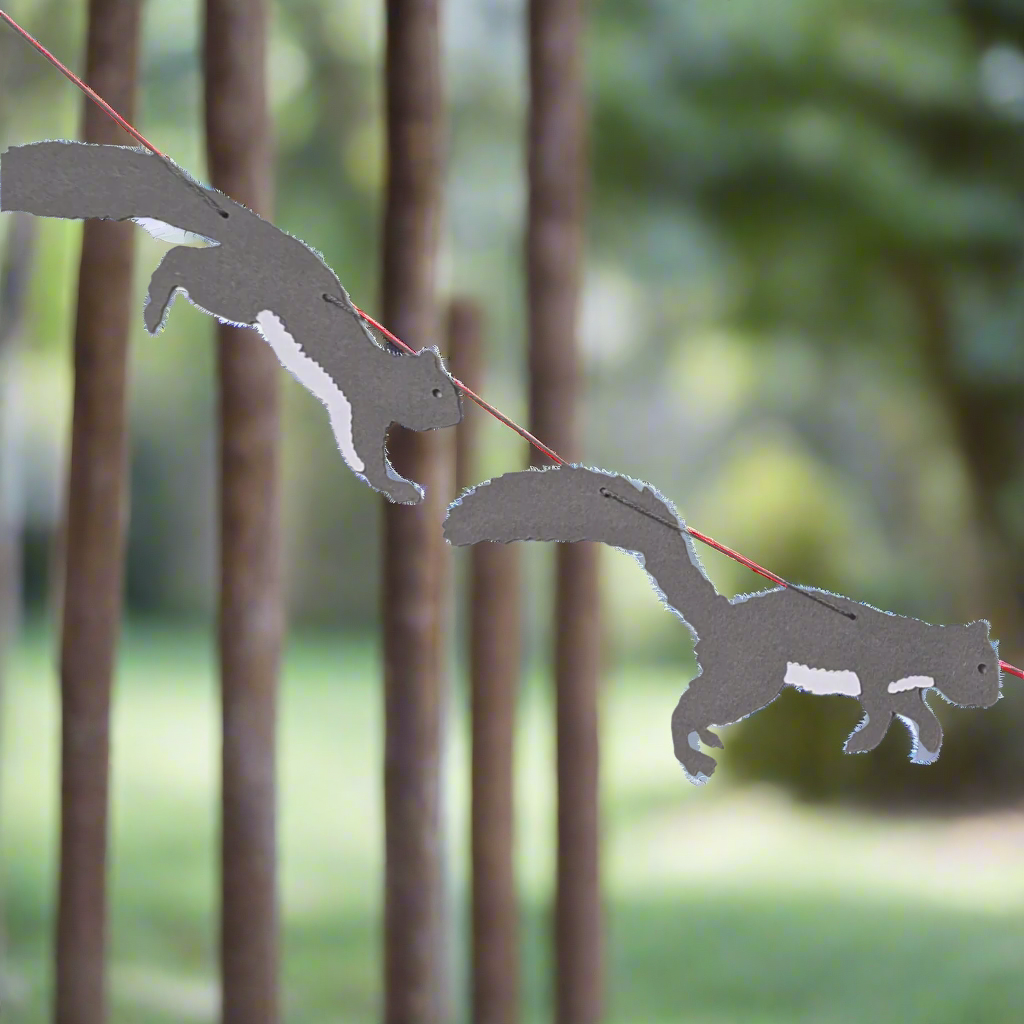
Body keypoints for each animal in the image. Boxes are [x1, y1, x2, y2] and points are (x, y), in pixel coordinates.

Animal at [0, 139, 461, 504]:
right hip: (237, 291)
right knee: (179, 262)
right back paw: (153, 311)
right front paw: (403, 489)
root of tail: (243, 224)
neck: (387, 373)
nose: (456, 418)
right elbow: (366, 457)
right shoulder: (364, 405)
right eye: (437, 392)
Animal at [443, 464, 1003, 784]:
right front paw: (862, 743)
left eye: (994, 666)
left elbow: (919, 714)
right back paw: (697, 761)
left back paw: (706, 742)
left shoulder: (907, 689)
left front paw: (928, 747)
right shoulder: (876, 672)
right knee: (682, 709)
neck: (918, 648)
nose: (996, 695)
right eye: (980, 667)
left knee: (692, 706)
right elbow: (880, 711)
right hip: (752, 678)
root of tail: (722, 615)